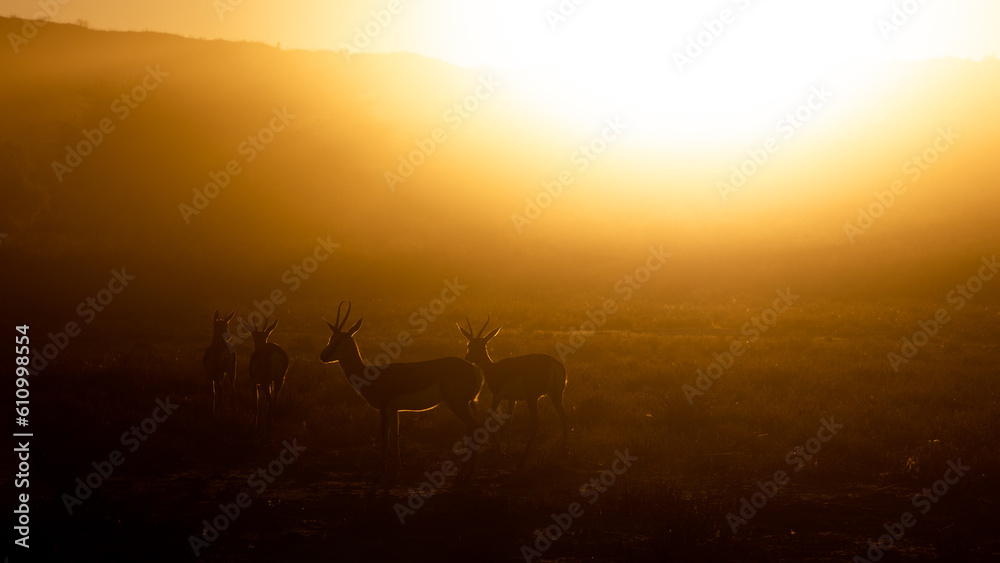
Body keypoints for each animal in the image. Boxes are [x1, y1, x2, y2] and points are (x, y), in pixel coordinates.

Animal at [316, 302, 480, 478]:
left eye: (339, 340)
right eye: (330, 338)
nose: (323, 356)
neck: (370, 374)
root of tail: (474, 369)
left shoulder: (383, 407)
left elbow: (384, 436)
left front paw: (382, 470)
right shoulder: (394, 410)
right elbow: (396, 435)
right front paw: (399, 469)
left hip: (457, 404)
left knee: (474, 426)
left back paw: (467, 472)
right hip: (464, 404)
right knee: (471, 428)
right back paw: (466, 471)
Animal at [458, 318, 568, 472]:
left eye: (482, 345)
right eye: (469, 344)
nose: (468, 358)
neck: (493, 369)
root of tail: (554, 365)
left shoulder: (498, 395)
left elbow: (489, 417)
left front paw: (500, 451)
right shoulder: (512, 399)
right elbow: (509, 421)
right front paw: (508, 450)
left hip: (532, 398)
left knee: (536, 423)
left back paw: (522, 461)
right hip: (556, 396)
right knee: (564, 417)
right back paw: (565, 453)